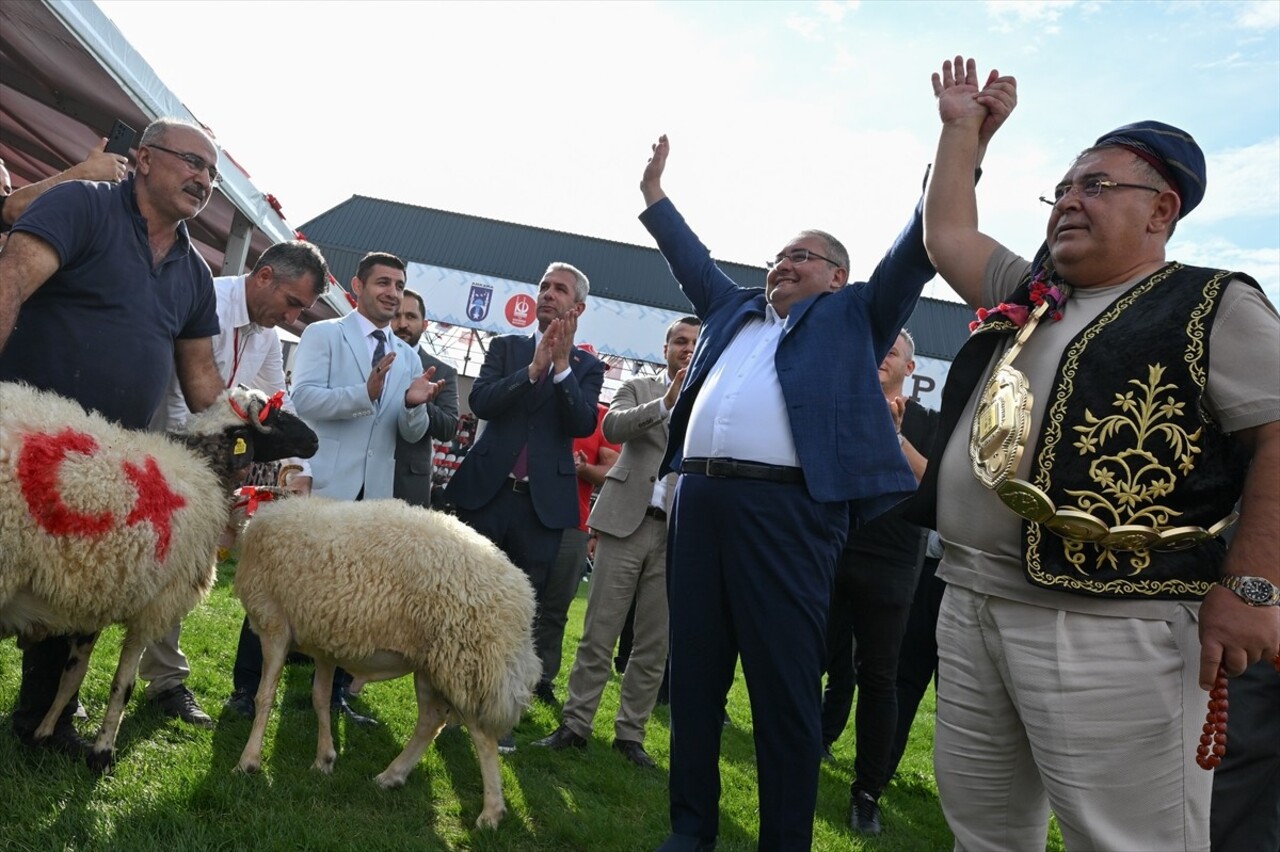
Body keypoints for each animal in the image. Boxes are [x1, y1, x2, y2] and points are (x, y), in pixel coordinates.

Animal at [0, 381, 317, 767]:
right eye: (277, 415)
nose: (314, 440)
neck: (204, 464)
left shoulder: (99, 594)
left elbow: (72, 674)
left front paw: (46, 731)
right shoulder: (154, 605)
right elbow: (122, 686)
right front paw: (103, 754)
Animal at [235, 493, 540, 823]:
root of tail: (521, 595)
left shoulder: (273, 625)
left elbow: (265, 695)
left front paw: (248, 761)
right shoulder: (325, 644)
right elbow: (320, 699)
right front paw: (324, 759)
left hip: (467, 663)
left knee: (482, 737)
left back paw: (491, 812)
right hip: (435, 665)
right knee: (431, 720)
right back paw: (392, 776)